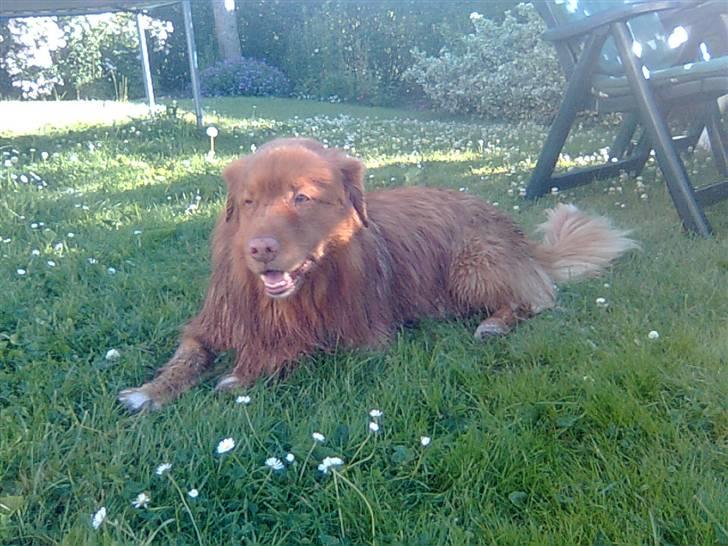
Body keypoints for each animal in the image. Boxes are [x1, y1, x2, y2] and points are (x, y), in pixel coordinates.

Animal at [116, 138, 636, 410]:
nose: (259, 248)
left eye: (301, 198)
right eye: (249, 202)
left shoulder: (356, 338)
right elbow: (186, 358)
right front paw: (148, 392)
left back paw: (494, 323)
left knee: (534, 299)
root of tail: (517, 234)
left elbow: (294, 347)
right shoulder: (212, 325)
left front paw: (243, 375)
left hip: (472, 266)